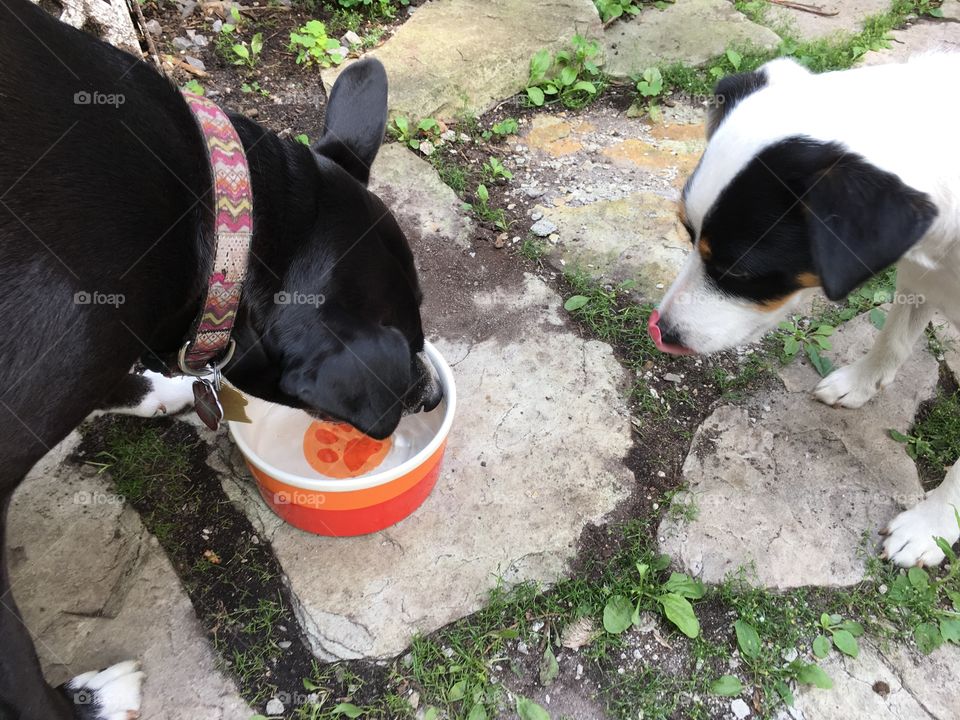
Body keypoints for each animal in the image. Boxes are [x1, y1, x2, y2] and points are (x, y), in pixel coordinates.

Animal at [0, 2, 440, 716]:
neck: (217, 225)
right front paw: (86, 701)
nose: (431, 396)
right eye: (407, 357)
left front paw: (163, 390)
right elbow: (18, 674)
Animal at [652, 50, 960, 568]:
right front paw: (860, 383)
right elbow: (893, 336)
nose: (663, 332)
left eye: (738, 269)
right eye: (686, 233)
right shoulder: (923, 275)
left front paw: (931, 527)